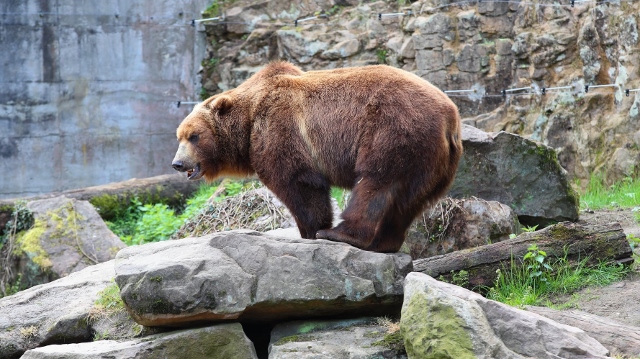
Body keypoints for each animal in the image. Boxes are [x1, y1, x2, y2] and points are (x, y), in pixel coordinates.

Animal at [172, 62, 462, 253]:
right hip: (432, 162)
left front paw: (311, 230)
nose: (177, 163)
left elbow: (298, 181)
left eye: (194, 135)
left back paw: (340, 234)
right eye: (179, 136)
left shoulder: (280, 127)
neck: (248, 121)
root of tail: (451, 116)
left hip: (394, 131)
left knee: (376, 184)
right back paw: (384, 243)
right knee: (408, 201)